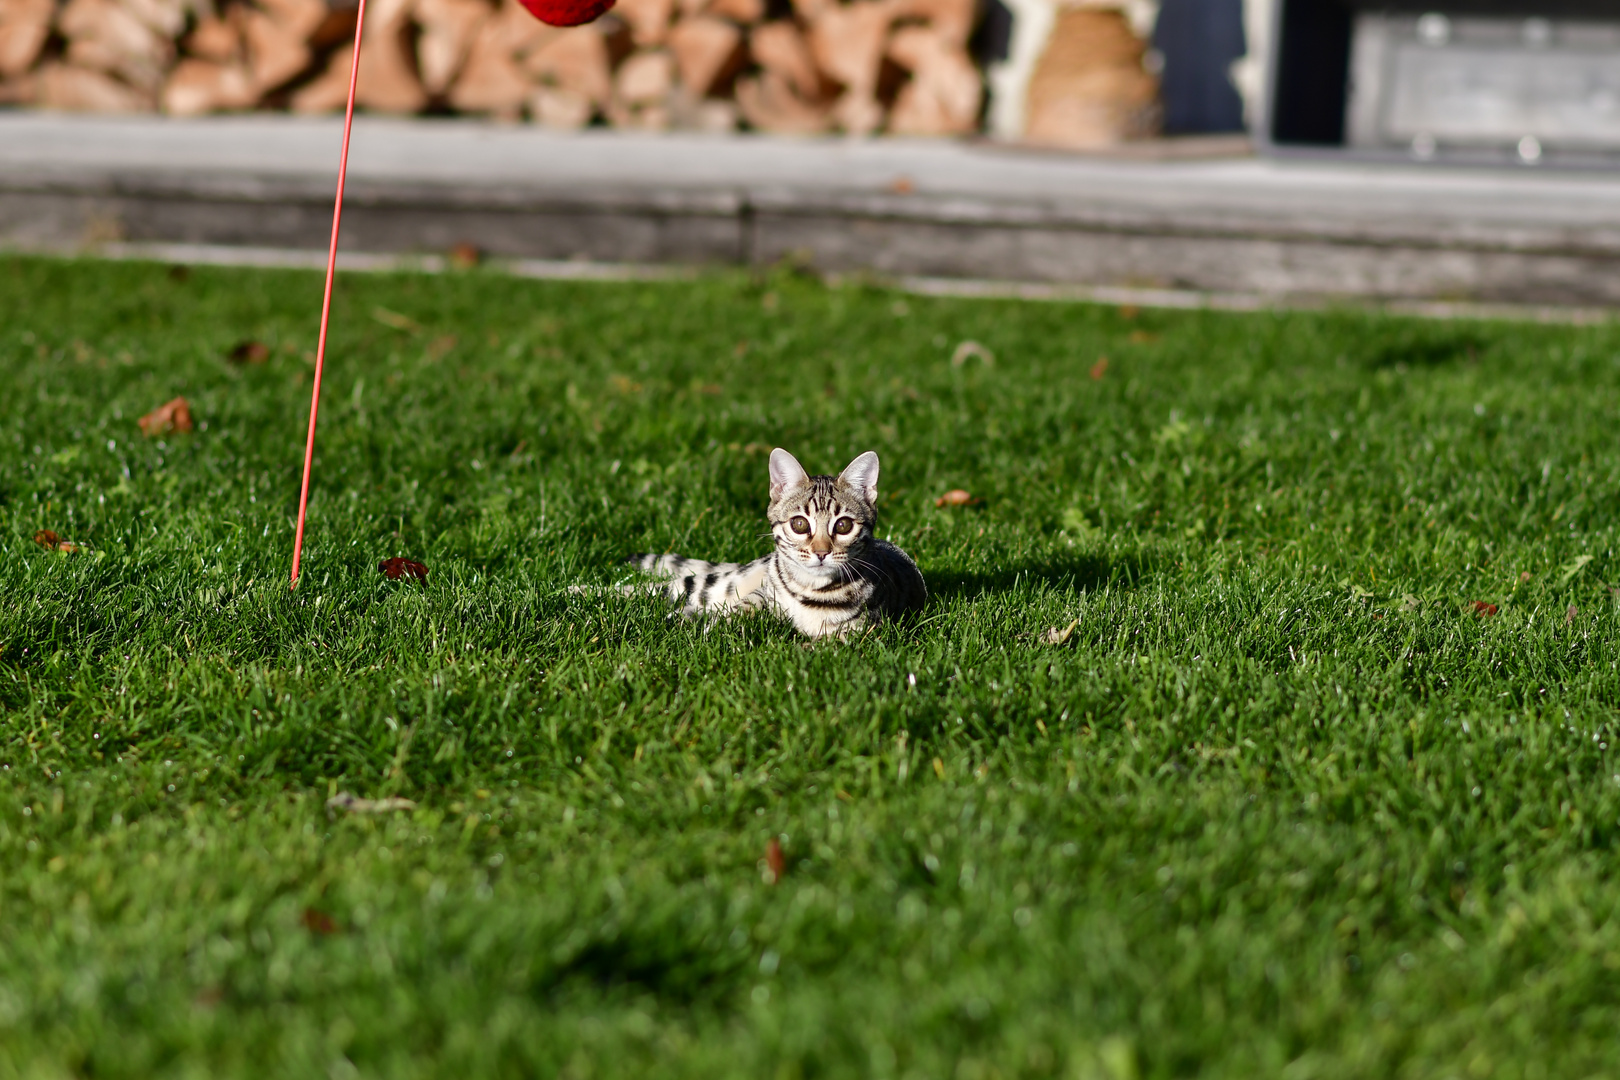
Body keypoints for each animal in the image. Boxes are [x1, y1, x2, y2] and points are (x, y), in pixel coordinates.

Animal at [618, 450, 926, 641]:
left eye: (843, 526)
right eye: (800, 524)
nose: (821, 552)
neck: (809, 589)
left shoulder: (865, 629)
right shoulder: (762, 595)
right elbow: (743, 608)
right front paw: (718, 626)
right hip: (723, 582)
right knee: (665, 589)